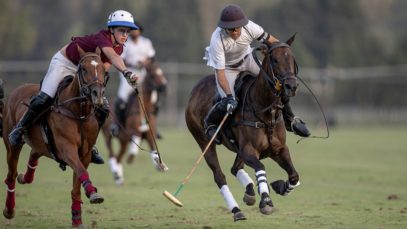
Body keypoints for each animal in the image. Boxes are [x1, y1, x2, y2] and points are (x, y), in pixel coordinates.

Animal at [1, 47, 107, 227]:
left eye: (103, 69)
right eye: (83, 69)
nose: (97, 94)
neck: (78, 112)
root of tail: (16, 90)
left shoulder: (85, 154)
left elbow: (77, 184)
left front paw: (77, 220)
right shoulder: (67, 149)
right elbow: (80, 170)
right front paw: (93, 193)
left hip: (41, 145)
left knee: (33, 154)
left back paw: (25, 177)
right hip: (12, 145)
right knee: (10, 176)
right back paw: (9, 210)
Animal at [186, 35, 302, 221]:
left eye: (292, 59)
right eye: (275, 60)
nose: (291, 86)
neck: (266, 112)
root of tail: (195, 90)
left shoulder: (278, 149)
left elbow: (294, 175)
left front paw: (279, 187)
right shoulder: (249, 151)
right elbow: (261, 168)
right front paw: (266, 201)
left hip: (237, 149)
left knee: (235, 168)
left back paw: (249, 192)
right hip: (204, 142)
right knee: (220, 176)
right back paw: (236, 210)